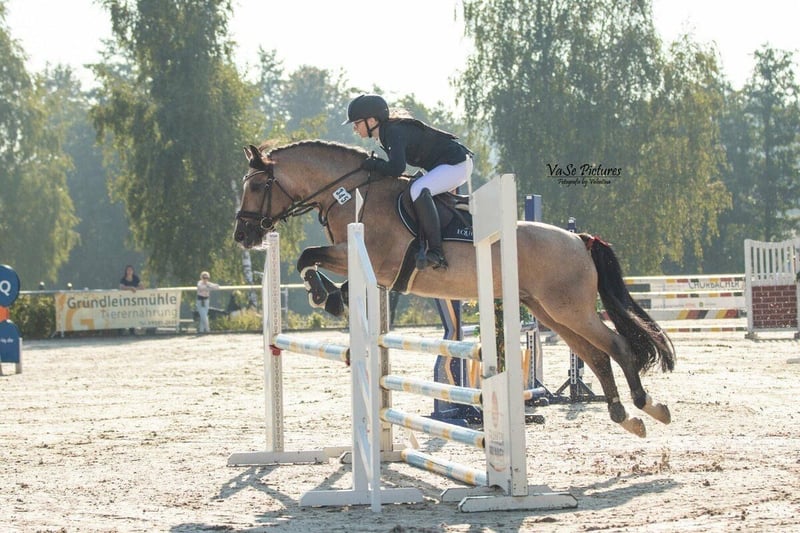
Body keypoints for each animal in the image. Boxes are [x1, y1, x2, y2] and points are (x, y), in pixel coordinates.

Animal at [233, 139, 676, 438]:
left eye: (255, 187)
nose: (243, 236)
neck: (351, 195)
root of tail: (579, 239)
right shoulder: (367, 266)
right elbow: (312, 261)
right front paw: (330, 296)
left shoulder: (371, 258)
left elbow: (307, 256)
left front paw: (324, 295)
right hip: (550, 312)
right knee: (597, 356)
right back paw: (627, 417)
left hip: (570, 309)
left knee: (617, 346)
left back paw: (649, 406)